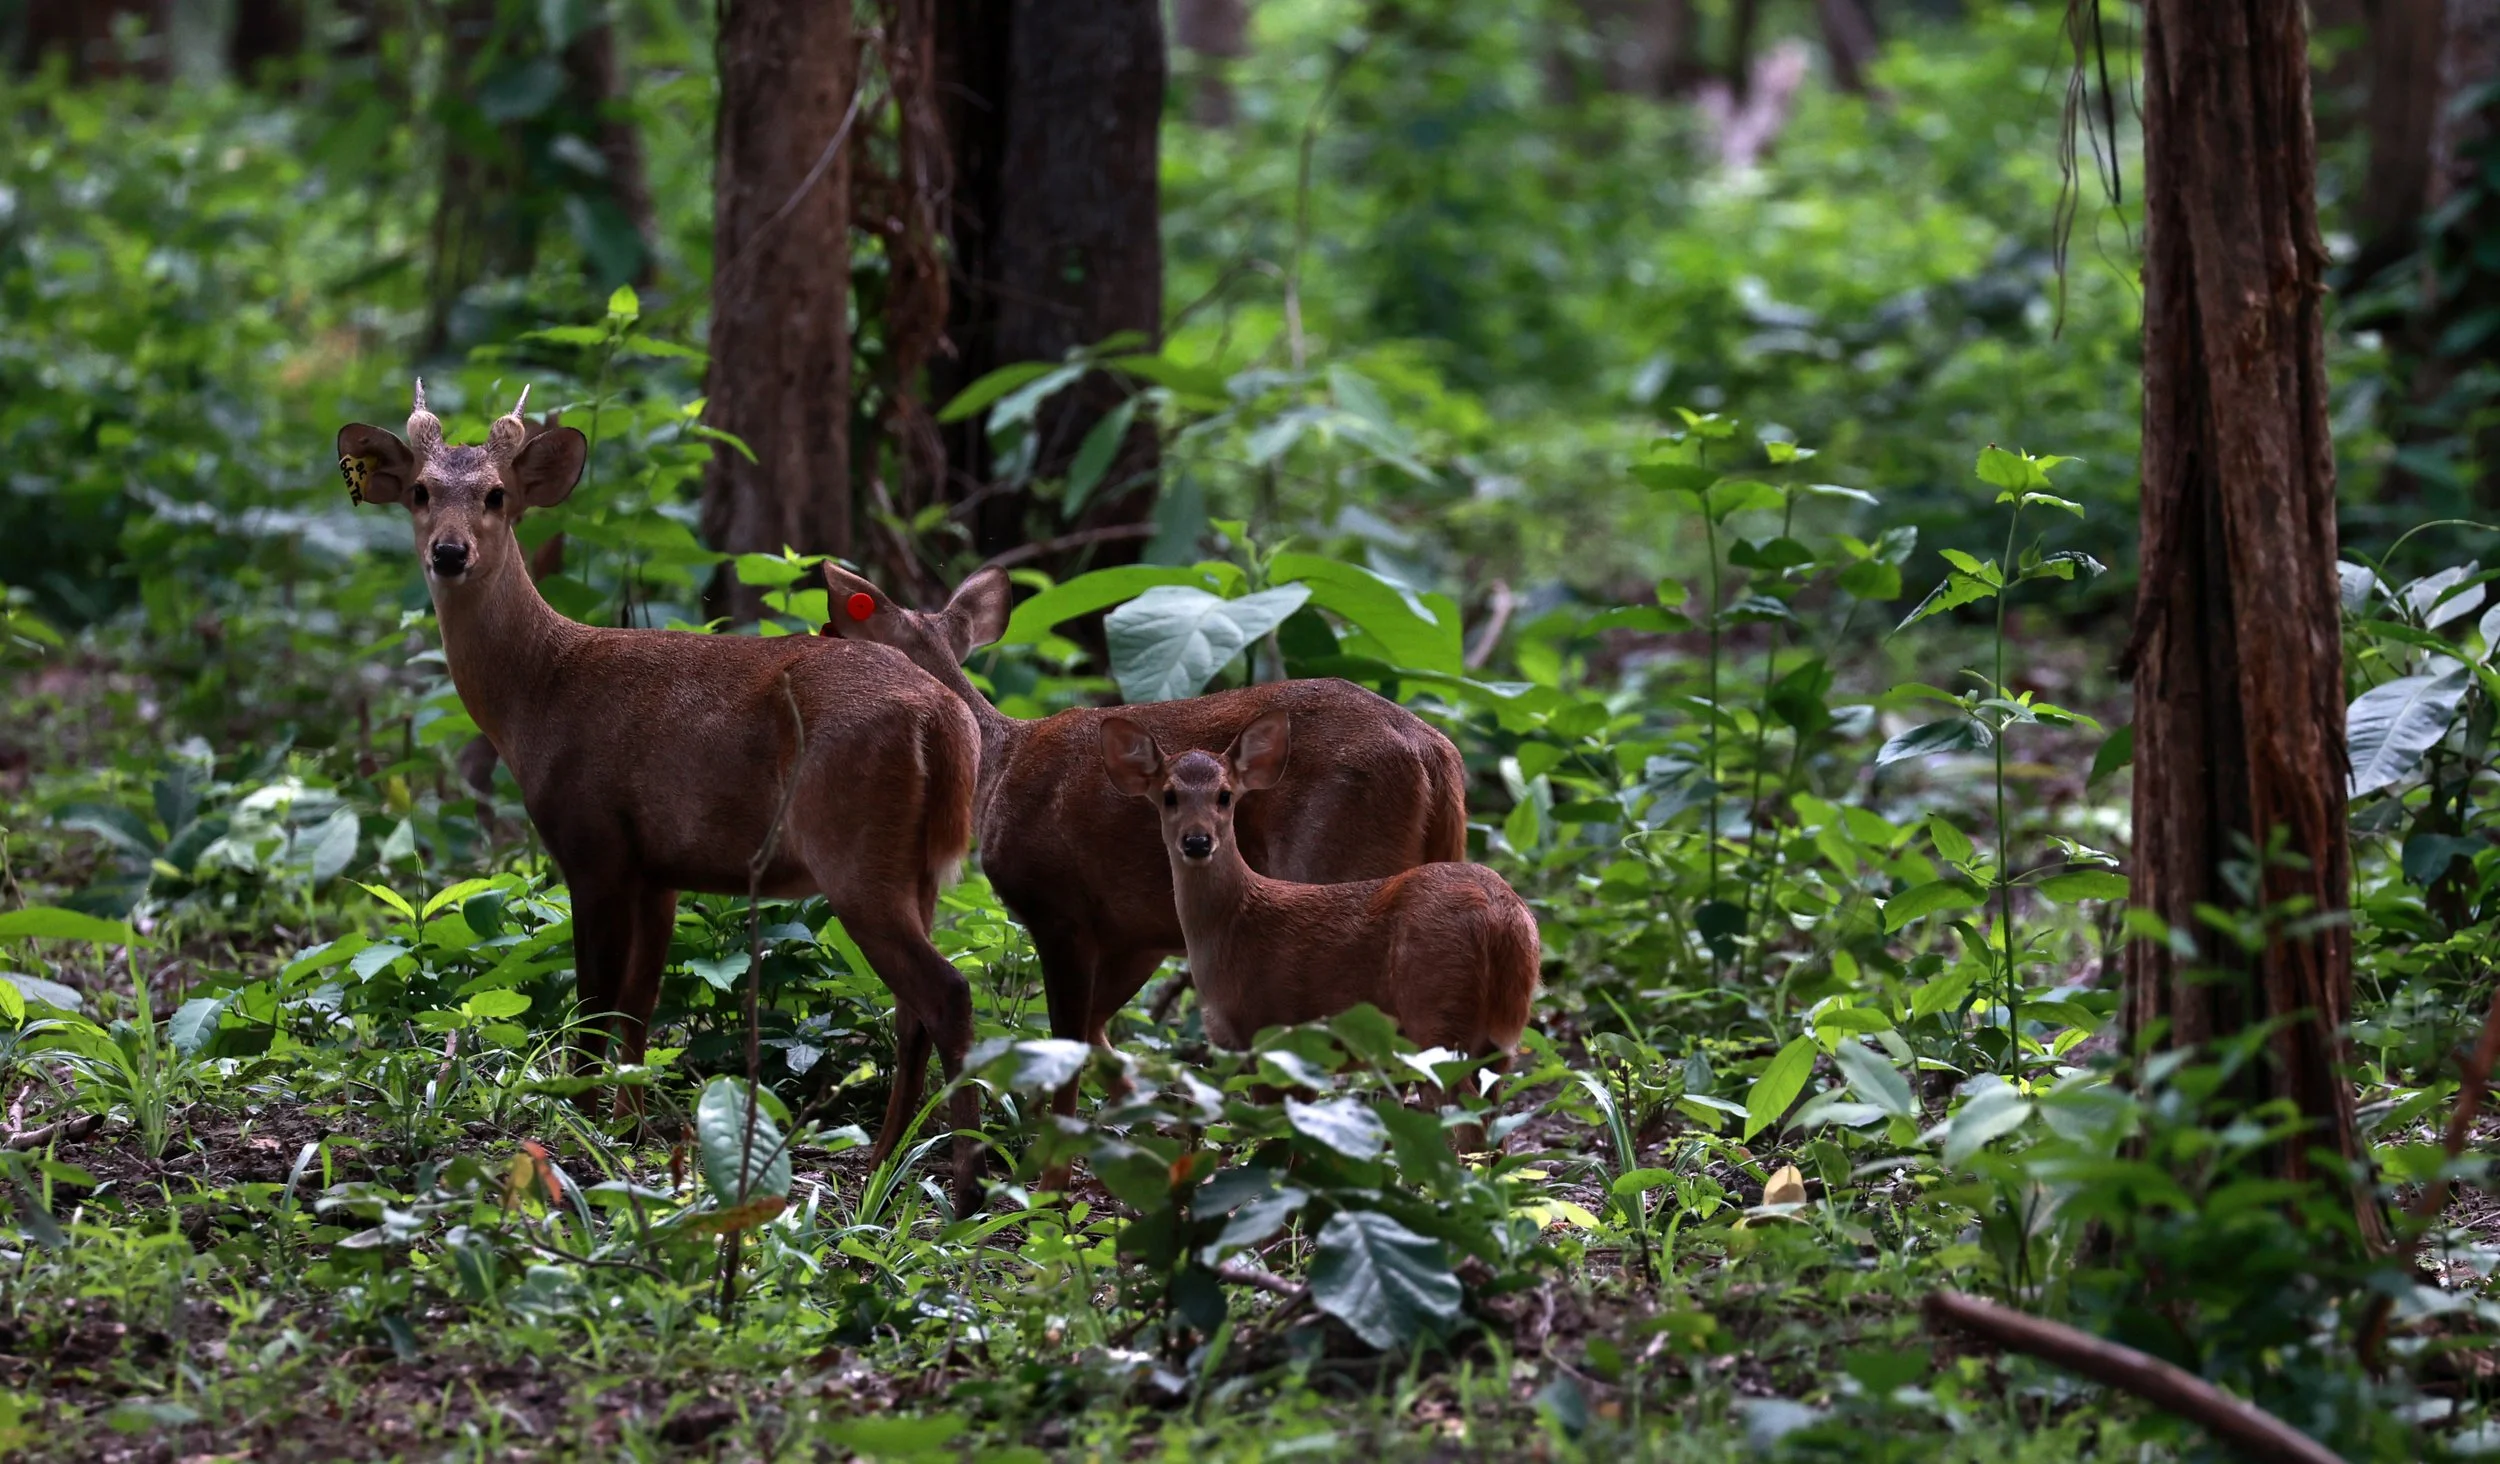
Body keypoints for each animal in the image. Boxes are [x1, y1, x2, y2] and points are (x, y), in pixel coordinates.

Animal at [335, 383, 986, 1210]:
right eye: (420, 491)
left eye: (496, 495)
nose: (449, 552)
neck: (539, 691)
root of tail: (945, 722)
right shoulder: (660, 867)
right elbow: (640, 1003)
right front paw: (628, 1126)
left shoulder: (594, 841)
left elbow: (592, 1000)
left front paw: (575, 1120)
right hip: (917, 868)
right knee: (911, 1010)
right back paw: (887, 1162)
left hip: (855, 850)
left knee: (947, 992)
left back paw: (959, 1185)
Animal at [814, 563, 1471, 1113]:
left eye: (837, 629)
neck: (998, 764)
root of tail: (1432, 753)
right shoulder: (1140, 929)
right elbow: (1098, 1034)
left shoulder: (1057, 907)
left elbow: (1067, 1039)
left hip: (1334, 863)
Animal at [1100, 709, 1540, 1142]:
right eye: (1169, 795)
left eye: (1224, 795)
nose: (1196, 841)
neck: (1233, 922)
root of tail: (1500, 915)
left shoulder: (1270, 1031)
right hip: (1501, 1027)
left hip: (1436, 1016)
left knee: (1466, 1113)